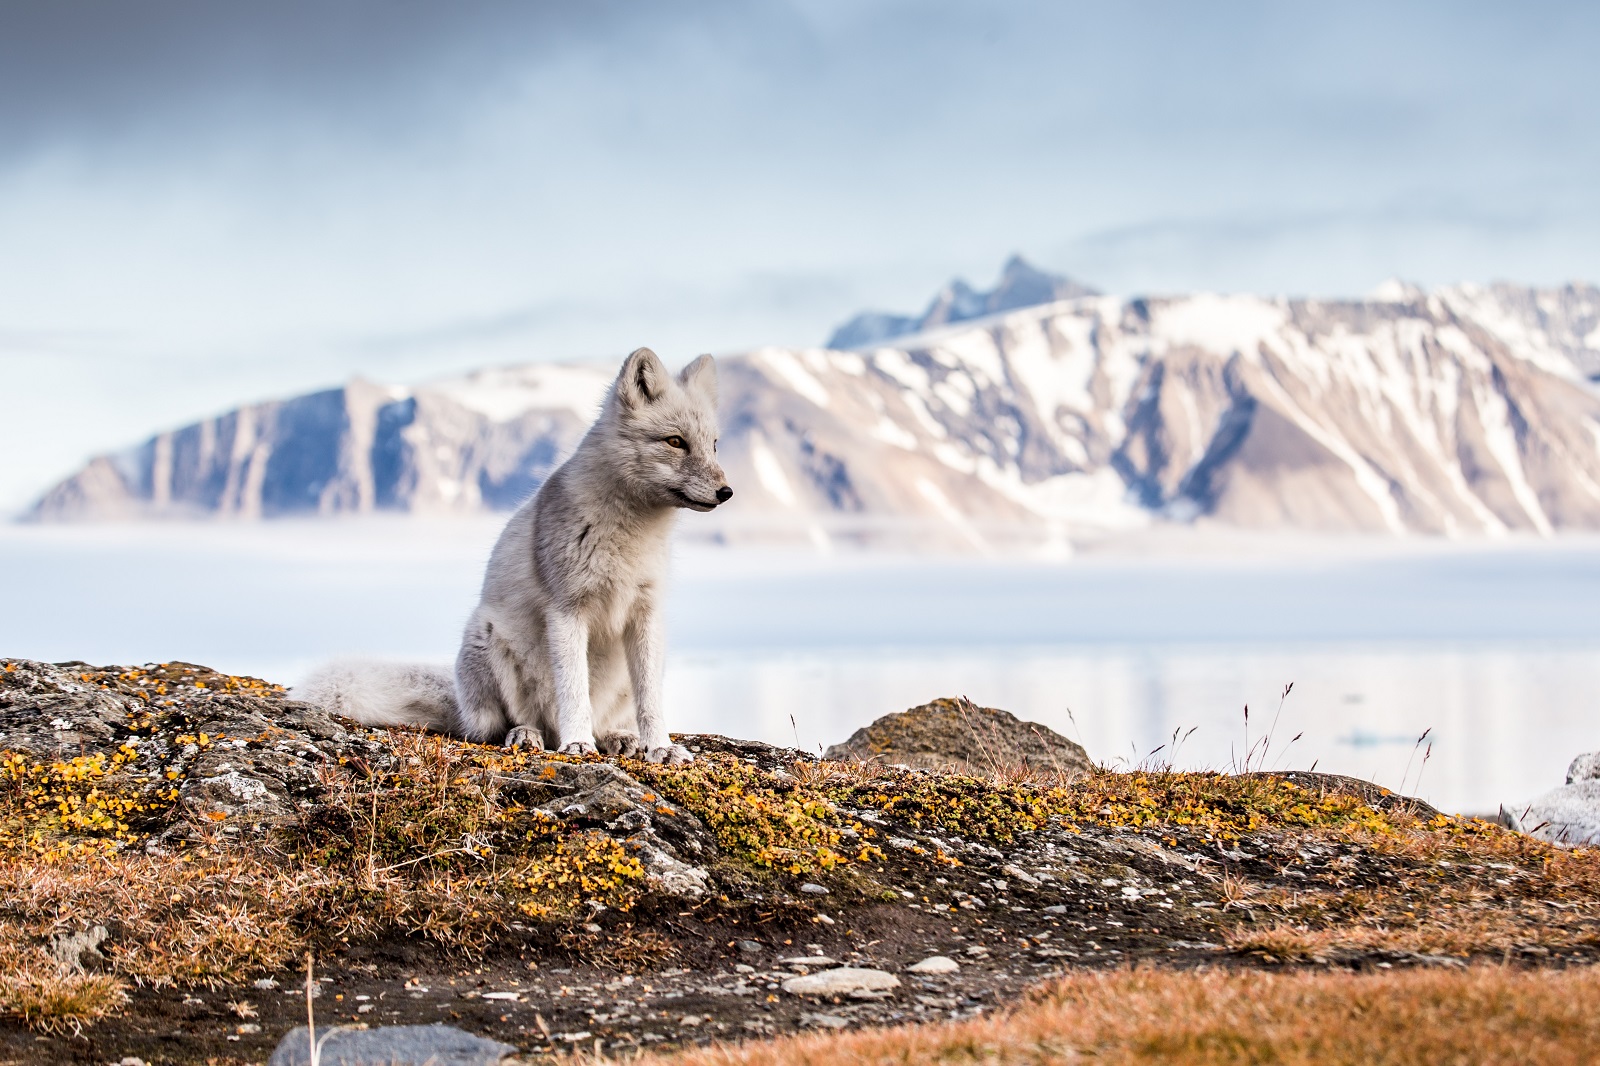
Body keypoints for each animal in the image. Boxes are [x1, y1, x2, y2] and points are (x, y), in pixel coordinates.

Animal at [294, 344, 732, 758]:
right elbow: (574, 691)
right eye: (675, 442)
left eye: (713, 445)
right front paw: (577, 744)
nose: (726, 492)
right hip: (488, 640)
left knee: (609, 718)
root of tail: (461, 702)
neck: (631, 533)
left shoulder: (645, 613)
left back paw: (616, 738)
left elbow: (651, 701)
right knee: (500, 727)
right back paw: (530, 735)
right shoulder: (567, 610)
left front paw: (661, 747)